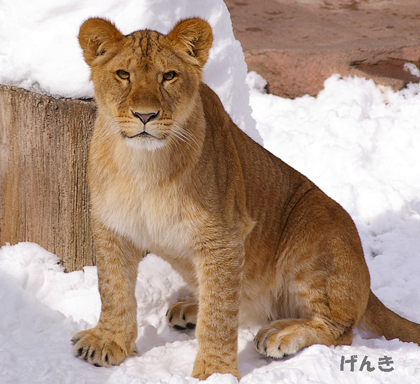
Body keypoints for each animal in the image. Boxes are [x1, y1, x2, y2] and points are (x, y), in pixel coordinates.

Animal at [72, 16, 420, 380]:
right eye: (123, 74)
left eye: (168, 76)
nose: (144, 116)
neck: (142, 165)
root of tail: (367, 285)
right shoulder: (113, 226)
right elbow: (113, 289)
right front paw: (108, 340)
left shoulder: (224, 237)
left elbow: (219, 315)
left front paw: (215, 372)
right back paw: (191, 309)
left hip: (315, 225)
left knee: (340, 329)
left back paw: (280, 334)